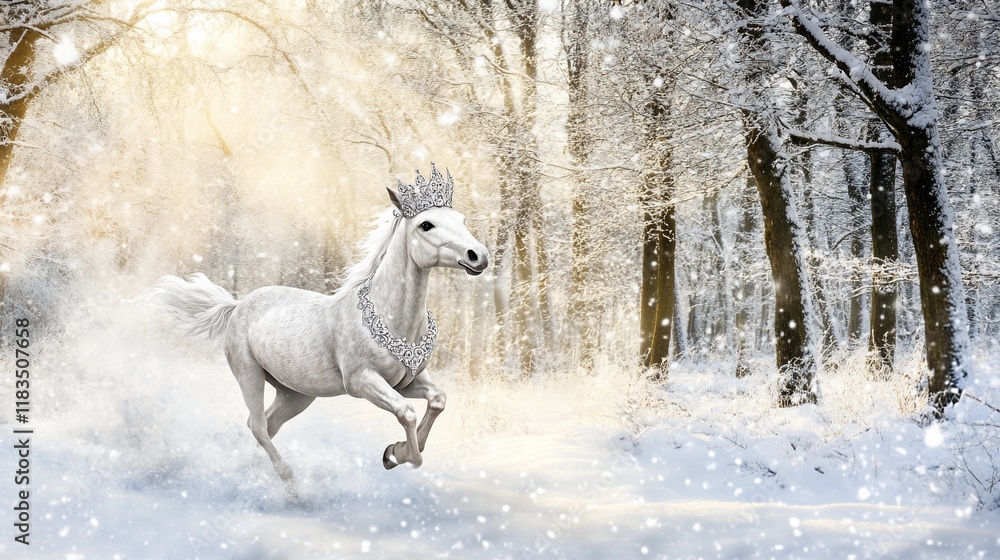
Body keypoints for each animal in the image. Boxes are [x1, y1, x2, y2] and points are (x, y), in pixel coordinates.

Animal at [144, 166, 488, 493]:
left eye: (462, 219)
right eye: (426, 225)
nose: (479, 256)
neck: (390, 319)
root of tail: (237, 305)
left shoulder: (407, 381)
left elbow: (438, 400)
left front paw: (394, 451)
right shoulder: (362, 382)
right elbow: (407, 415)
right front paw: (395, 454)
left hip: (296, 394)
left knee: (268, 426)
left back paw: (255, 476)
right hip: (249, 375)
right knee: (257, 425)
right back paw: (290, 485)